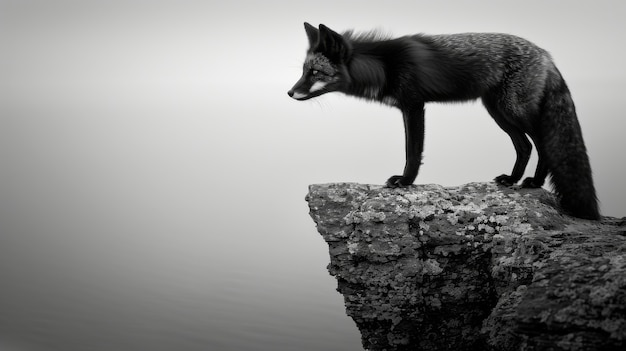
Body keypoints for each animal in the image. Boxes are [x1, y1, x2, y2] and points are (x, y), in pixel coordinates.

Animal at [288, 22, 600, 220]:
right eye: (304, 70)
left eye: (315, 72)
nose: (289, 93)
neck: (385, 65)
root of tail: (546, 55)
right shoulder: (407, 108)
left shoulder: (414, 106)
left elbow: (412, 152)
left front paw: (405, 181)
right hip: (498, 112)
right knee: (524, 146)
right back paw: (512, 179)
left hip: (514, 110)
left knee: (542, 144)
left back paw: (534, 182)